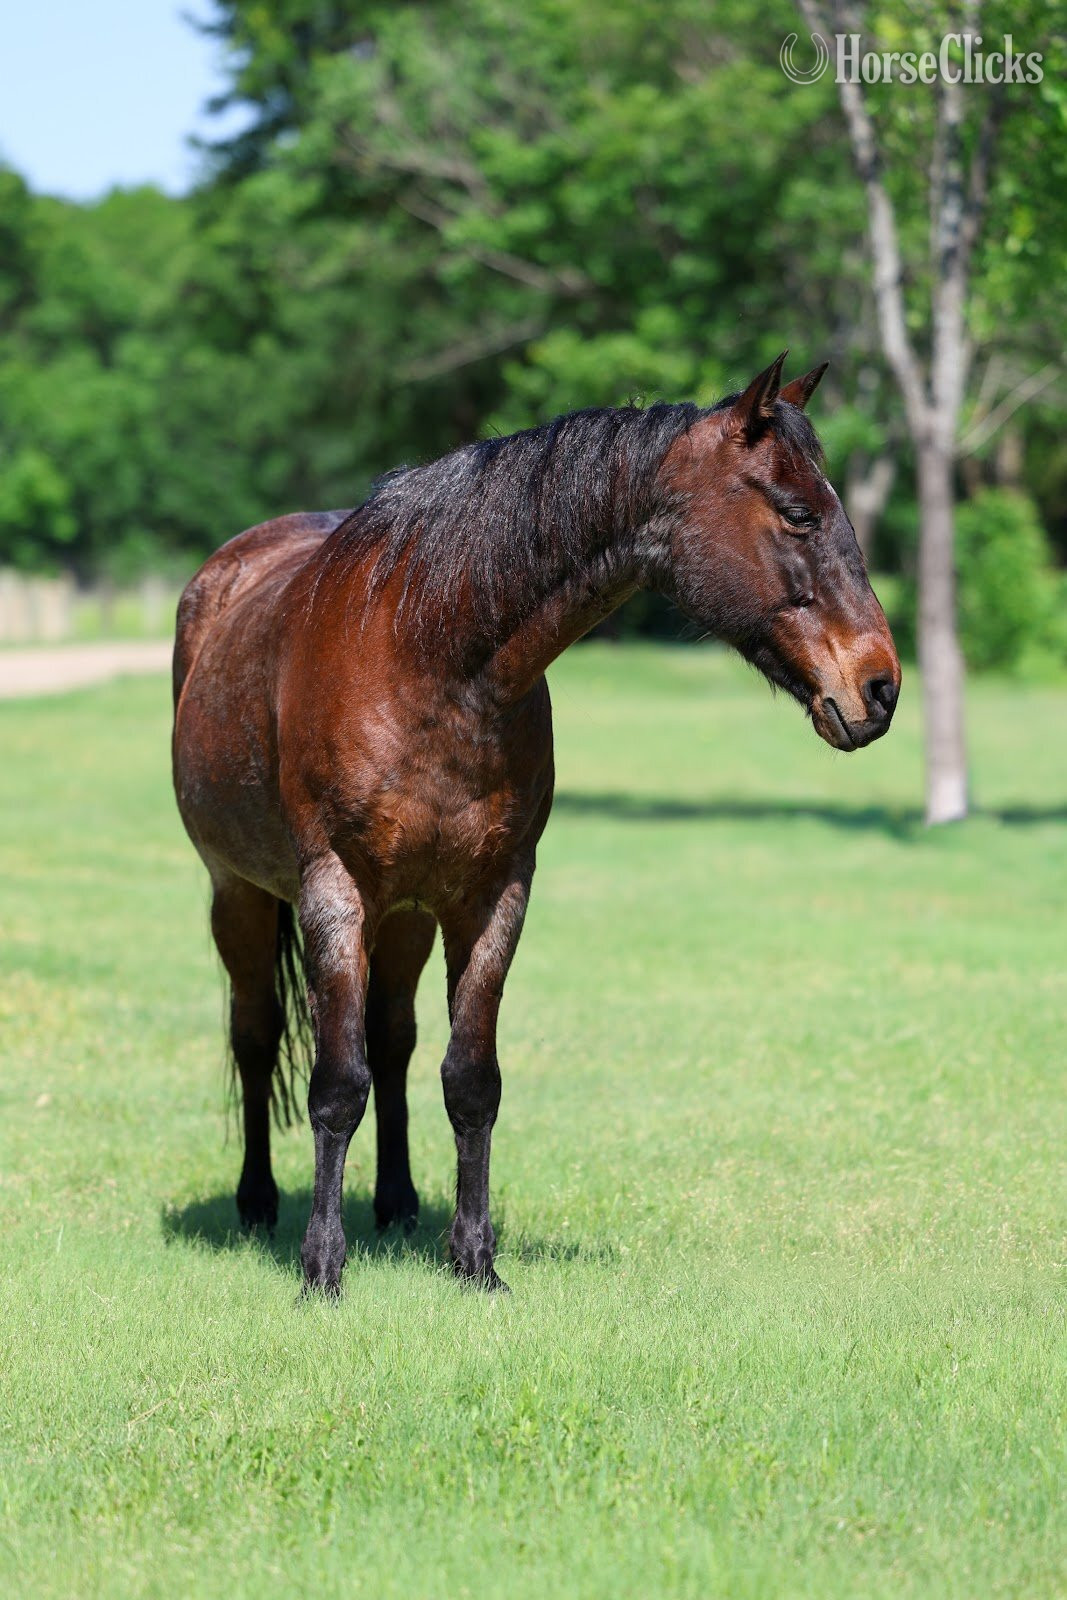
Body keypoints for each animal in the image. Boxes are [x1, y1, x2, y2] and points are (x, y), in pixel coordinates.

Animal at [172, 353, 900, 1295]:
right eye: (798, 512)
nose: (879, 687)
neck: (430, 658)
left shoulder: (492, 895)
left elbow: (467, 1078)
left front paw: (475, 1262)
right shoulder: (333, 891)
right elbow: (335, 1083)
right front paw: (322, 1270)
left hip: (406, 917)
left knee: (394, 1042)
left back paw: (397, 1202)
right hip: (240, 895)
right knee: (257, 1036)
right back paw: (258, 1202)